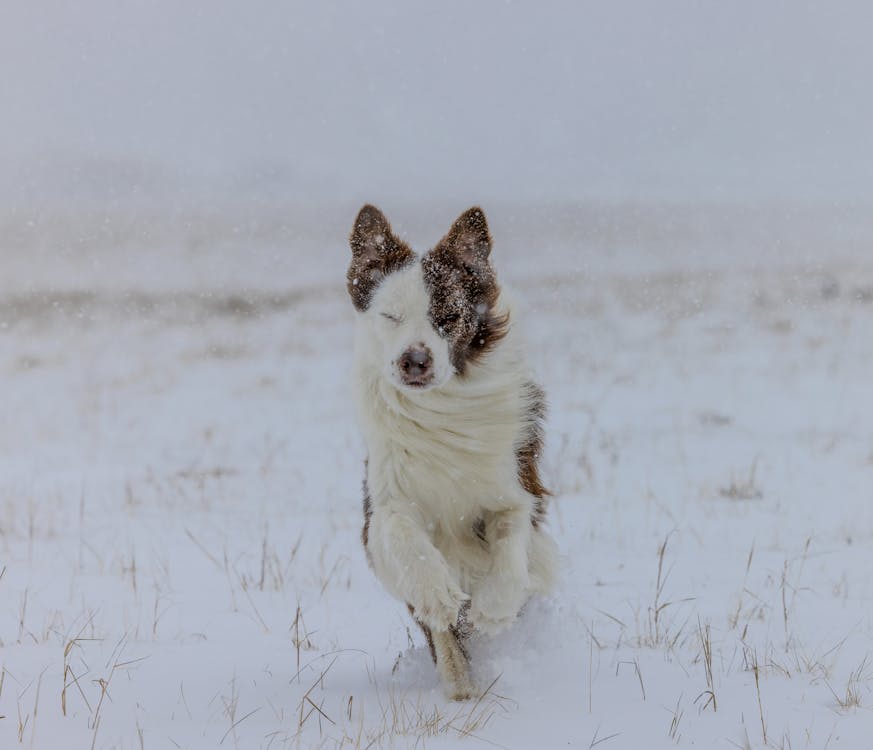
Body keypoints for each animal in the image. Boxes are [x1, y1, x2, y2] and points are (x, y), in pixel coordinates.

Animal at [344, 204, 556, 700]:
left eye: (449, 316)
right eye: (390, 316)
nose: (414, 360)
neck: (442, 407)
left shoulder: (517, 488)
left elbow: (512, 539)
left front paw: (495, 607)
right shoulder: (383, 502)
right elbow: (402, 533)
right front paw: (437, 593)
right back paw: (458, 682)